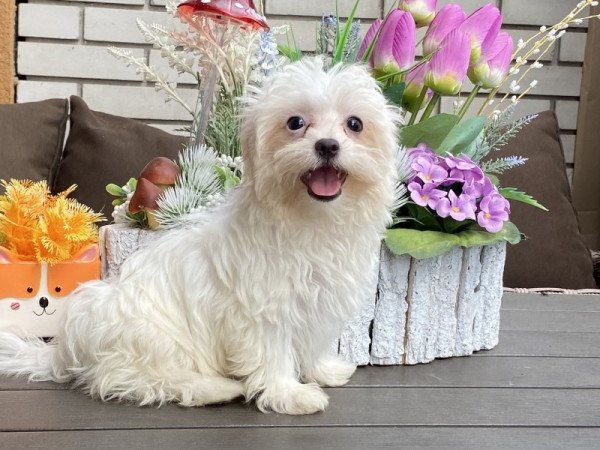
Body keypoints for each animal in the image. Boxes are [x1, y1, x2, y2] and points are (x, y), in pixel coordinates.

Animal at [1, 57, 404, 414]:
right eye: (295, 123)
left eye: (355, 124)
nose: (327, 145)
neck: (312, 220)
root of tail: (63, 351)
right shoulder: (262, 307)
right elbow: (272, 351)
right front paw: (288, 394)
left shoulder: (322, 301)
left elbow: (313, 339)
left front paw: (323, 369)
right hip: (140, 333)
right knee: (131, 377)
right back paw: (212, 388)